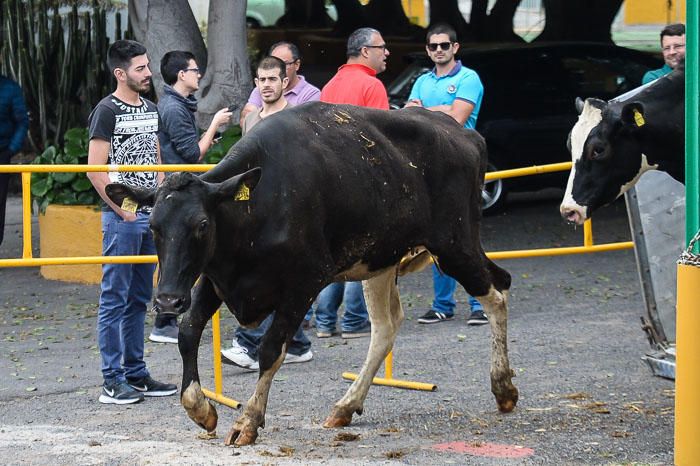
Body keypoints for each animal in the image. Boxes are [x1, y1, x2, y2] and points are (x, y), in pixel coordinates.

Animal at [105, 103, 520, 448]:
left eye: (203, 225)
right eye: (154, 226)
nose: (167, 299)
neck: (260, 205)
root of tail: (463, 132)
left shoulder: (305, 281)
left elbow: (271, 348)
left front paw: (248, 421)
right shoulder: (217, 277)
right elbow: (189, 332)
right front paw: (201, 409)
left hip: (454, 244)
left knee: (498, 290)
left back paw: (503, 388)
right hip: (381, 260)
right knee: (386, 326)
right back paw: (346, 406)